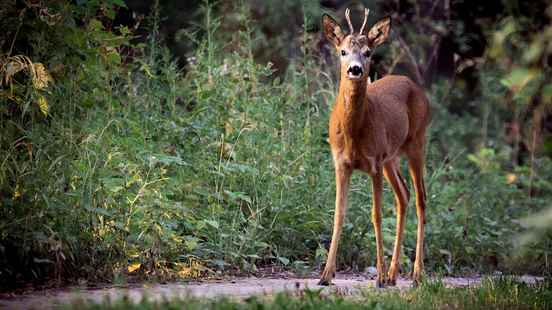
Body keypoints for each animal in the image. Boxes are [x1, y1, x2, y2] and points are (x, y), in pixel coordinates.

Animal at [320, 7, 432, 288]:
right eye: (342, 51)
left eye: (368, 52)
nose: (355, 69)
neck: (354, 133)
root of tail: (414, 85)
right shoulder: (341, 164)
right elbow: (339, 213)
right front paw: (326, 275)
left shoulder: (374, 163)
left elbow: (376, 215)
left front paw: (378, 276)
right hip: (391, 158)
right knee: (404, 195)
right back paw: (393, 274)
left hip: (416, 142)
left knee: (421, 199)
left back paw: (416, 274)